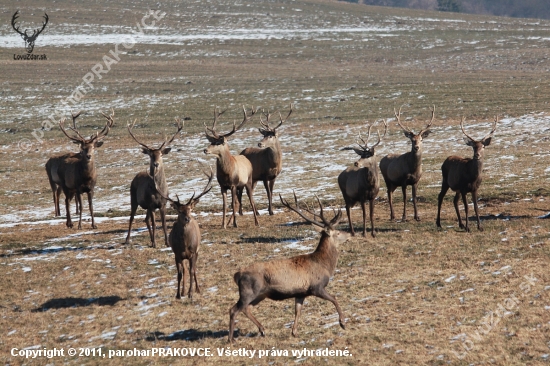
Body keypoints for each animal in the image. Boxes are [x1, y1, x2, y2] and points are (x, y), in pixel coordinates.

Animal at [126, 118, 184, 247]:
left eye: (161, 154)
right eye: (151, 155)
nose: (156, 164)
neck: (158, 191)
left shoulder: (163, 204)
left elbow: (163, 223)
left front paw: (167, 243)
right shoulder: (151, 204)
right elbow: (154, 223)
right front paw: (156, 244)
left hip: (146, 206)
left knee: (146, 219)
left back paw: (151, 240)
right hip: (133, 198)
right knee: (132, 218)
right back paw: (127, 240)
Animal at [157, 167, 216, 300]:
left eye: (189, 209)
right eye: (179, 211)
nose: (187, 219)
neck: (184, 244)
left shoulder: (193, 252)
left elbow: (192, 271)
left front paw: (191, 293)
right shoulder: (177, 254)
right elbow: (179, 273)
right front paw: (178, 294)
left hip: (197, 251)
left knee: (193, 269)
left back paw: (197, 289)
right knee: (184, 270)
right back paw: (183, 291)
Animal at [230, 193, 354, 342]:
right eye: (338, 233)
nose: (350, 234)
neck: (324, 265)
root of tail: (237, 275)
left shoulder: (301, 293)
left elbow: (297, 311)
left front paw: (294, 332)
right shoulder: (316, 287)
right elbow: (334, 298)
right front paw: (343, 323)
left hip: (260, 294)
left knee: (246, 309)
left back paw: (262, 330)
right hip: (249, 291)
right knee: (234, 310)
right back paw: (231, 339)